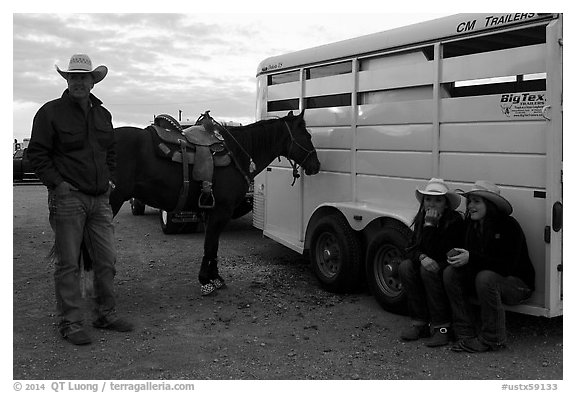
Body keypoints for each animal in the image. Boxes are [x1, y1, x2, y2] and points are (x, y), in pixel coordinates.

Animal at [106, 109, 322, 294]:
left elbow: (213, 245)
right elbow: (210, 245)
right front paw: (206, 281)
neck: (238, 153)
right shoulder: (221, 210)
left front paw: (215, 277)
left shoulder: (211, 210)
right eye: (308, 136)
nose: (317, 165)